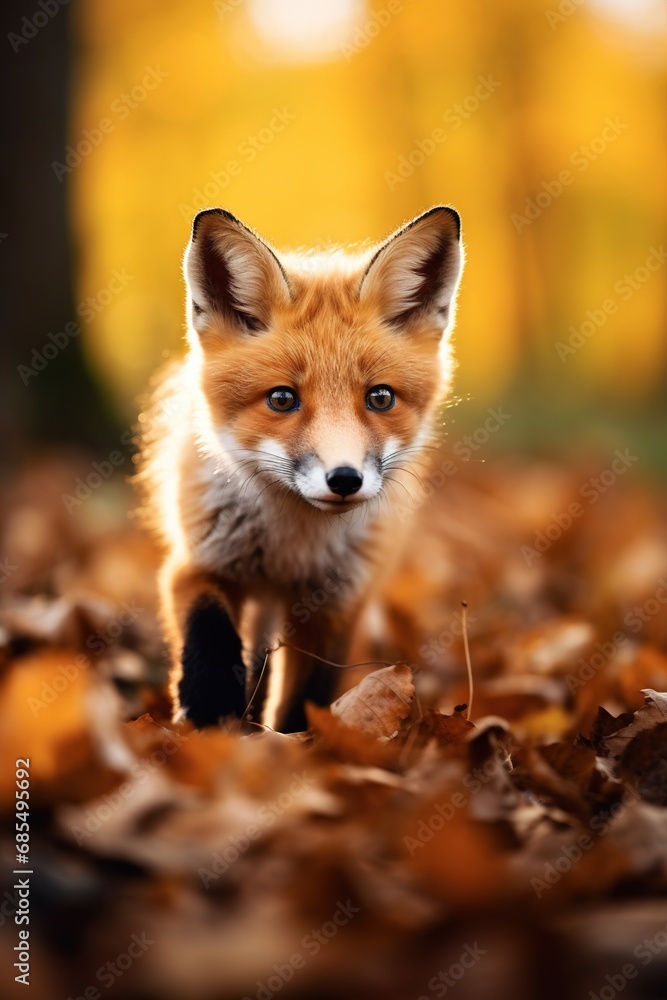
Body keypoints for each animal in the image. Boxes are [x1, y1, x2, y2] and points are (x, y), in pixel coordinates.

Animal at [139, 205, 463, 732]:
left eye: (380, 397)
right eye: (281, 399)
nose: (345, 479)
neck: (291, 544)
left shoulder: (335, 604)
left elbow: (304, 697)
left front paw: (295, 742)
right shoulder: (197, 562)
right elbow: (208, 628)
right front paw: (208, 712)